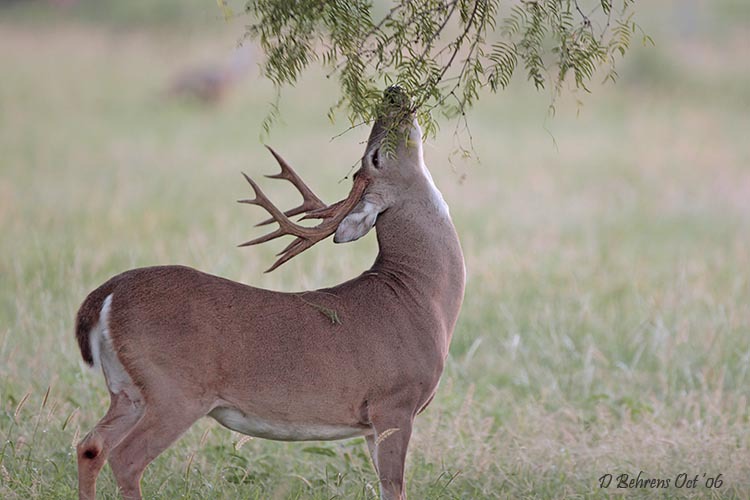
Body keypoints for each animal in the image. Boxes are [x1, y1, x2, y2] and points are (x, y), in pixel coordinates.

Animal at [75, 88, 464, 498]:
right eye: (375, 156)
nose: (393, 93)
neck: (420, 297)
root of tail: (107, 294)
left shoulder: (374, 422)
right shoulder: (393, 402)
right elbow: (394, 488)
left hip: (127, 390)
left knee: (90, 445)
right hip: (174, 389)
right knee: (126, 458)